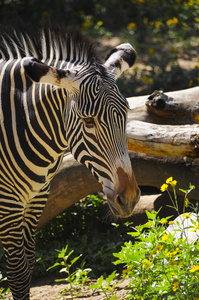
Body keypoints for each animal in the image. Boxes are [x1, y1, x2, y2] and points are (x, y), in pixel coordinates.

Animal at [0, 24, 140, 298]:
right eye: (88, 121)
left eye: (126, 114)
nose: (128, 199)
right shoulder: (9, 203)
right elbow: (18, 273)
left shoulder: (36, 197)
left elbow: (28, 265)